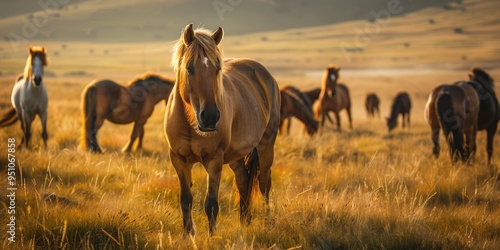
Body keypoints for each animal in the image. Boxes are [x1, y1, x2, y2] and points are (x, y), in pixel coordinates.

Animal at [165, 23, 280, 236]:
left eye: (218, 68)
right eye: (189, 68)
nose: (209, 117)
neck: (189, 122)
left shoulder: (214, 160)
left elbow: (211, 204)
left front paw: (212, 237)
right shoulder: (178, 159)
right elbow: (185, 199)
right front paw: (188, 235)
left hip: (266, 145)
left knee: (264, 182)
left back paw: (268, 222)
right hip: (235, 155)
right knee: (243, 179)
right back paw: (245, 221)